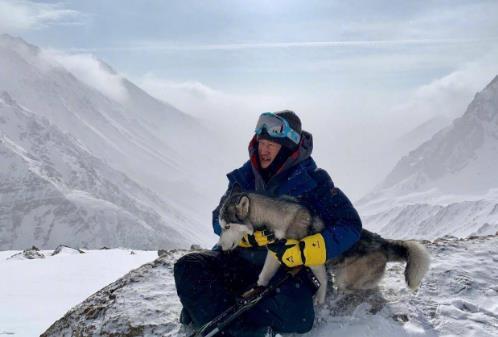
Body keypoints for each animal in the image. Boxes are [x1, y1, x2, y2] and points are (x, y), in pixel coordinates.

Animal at [220, 189, 430, 304]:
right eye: (221, 225)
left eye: (227, 226)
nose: (221, 246)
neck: (274, 221)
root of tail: (382, 242)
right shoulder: (275, 254)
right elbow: (264, 274)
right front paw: (256, 289)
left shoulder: (310, 256)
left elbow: (322, 280)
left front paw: (320, 298)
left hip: (347, 276)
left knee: (355, 287)